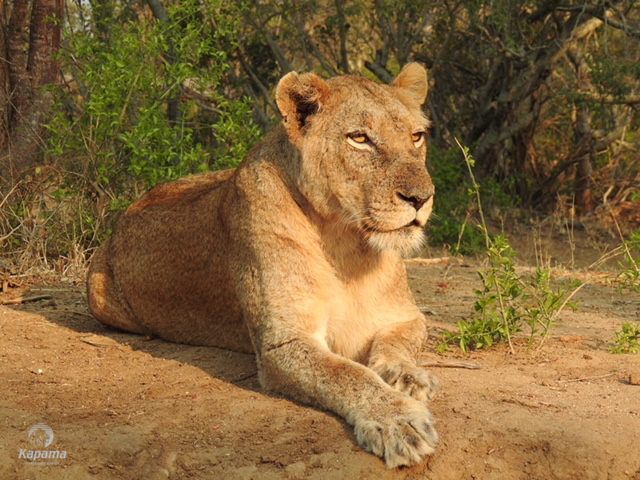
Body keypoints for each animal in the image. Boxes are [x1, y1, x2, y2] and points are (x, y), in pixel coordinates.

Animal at [87, 63, 439, 468]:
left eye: (416, 136)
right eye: (360, 138)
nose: (421, 198)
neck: (346, 241)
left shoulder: (404, 317)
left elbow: (396, 347)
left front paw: (410, 377)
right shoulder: (283, 342)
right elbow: (347, 374)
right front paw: (398, 420)